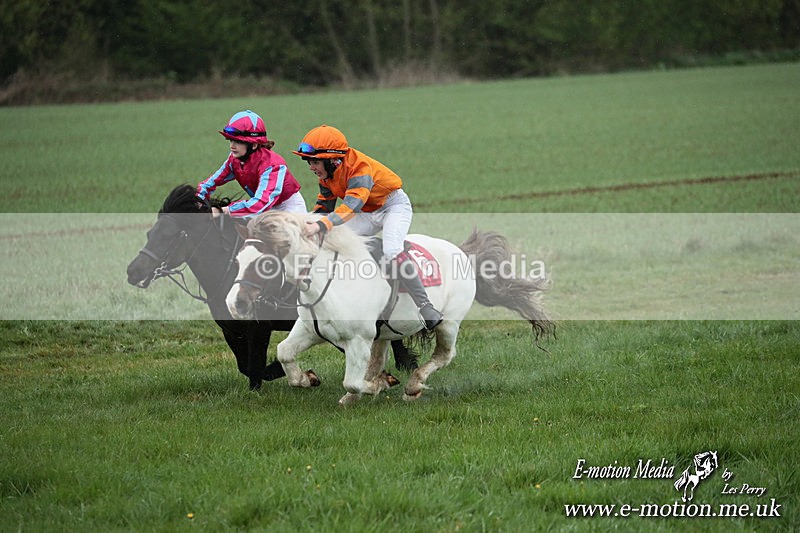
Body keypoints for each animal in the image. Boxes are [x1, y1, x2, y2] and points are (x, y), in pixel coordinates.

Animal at [126, 185, 417, 391]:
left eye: (167, 236)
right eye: (149, 234)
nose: (133, 271)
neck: (226, 270)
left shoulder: (258, 328)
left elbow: (255, 366)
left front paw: (298, 375)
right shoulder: (230, 330)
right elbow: (245, 366)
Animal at [226, 211, 553, 405]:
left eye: (265, 264)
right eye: (238, 259)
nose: (234, 303)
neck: (326, 280)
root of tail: (462, 252)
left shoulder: (357, 339)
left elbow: (353, 381)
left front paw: (380, 386)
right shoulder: (310, 330)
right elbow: (285, 353)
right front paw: (308, 378)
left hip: (448, 323)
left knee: (444, 355)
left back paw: (412, 386)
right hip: (383, 333)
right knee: (379, 356)